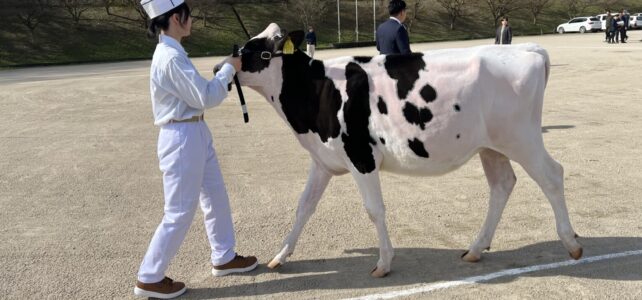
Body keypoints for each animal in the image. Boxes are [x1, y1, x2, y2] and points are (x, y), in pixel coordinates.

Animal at [234, 22, 580, 276]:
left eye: (255, 49)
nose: (228, 63)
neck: (318, 89)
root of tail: (526, 48)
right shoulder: (323, 161)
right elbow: (304, 206)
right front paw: (279, 256)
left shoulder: (361, 157)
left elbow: (374, 210)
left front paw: (384, 263)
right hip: (491, 146)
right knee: (502, 185)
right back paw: (475, 249)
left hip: (521, 137)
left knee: (552, 176)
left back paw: (572, 243)